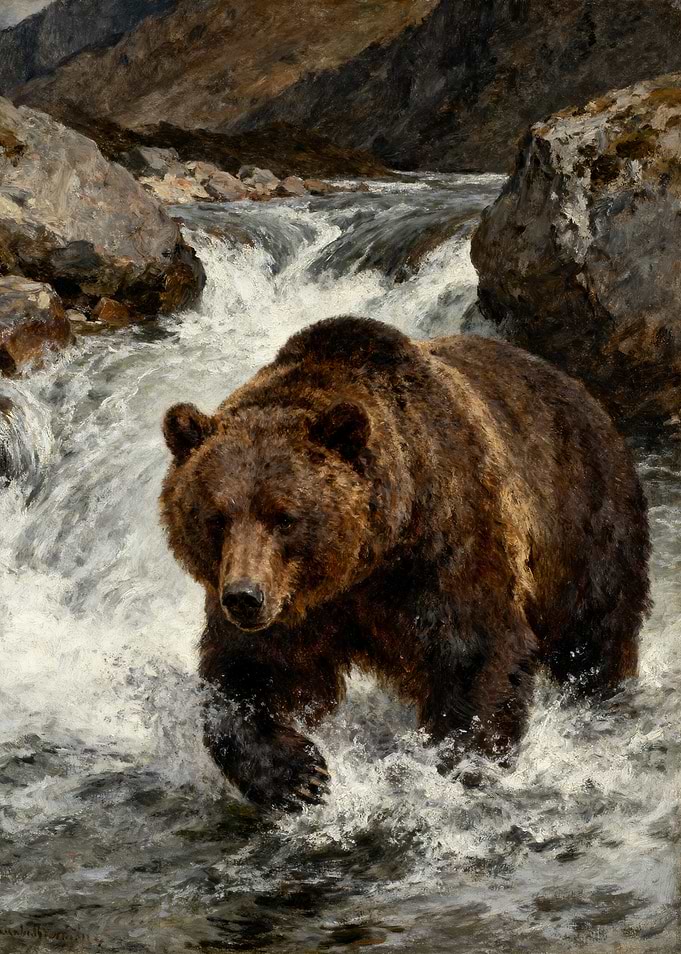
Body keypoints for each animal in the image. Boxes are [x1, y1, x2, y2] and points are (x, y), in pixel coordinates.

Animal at [160, 316, 650, 810]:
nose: (244, 597)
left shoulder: (446, 545)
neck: (366, 561)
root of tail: (581, 393)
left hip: (584, 523)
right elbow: (249, 673)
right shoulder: (295, 607)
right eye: (217, 517)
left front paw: (459, 763)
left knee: (593, 636)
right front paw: (298, 775)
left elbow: (478, 651)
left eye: (284, 517)